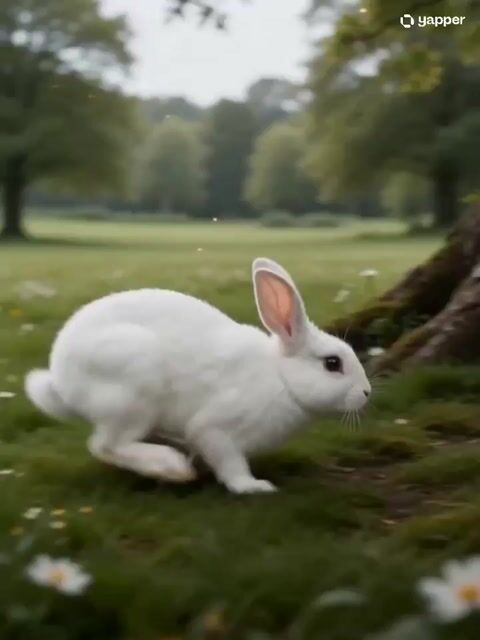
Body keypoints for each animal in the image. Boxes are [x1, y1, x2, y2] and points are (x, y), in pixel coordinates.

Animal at [25, 257, 371, 494]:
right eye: (332, 363)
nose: (367, 393)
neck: (281, 379)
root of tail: (61, 380)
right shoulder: (215, 428)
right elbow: (229, 462)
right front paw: (253, 486)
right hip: (133, 392)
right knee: (105, 445)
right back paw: (170, 467)